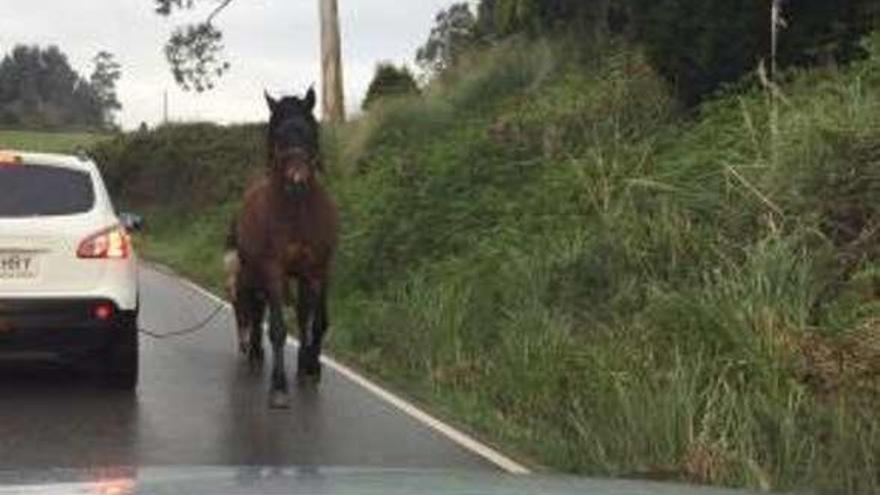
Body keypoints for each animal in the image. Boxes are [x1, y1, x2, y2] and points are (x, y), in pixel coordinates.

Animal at [225, 87, 338, 408]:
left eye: (310, 132)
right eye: (278, 134)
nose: (296, 181)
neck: (298, 211)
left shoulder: (315, 271)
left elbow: (314, 322)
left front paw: (310, 368)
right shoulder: (273, 270)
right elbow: (277, 328)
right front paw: (278, 386)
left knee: (300, 314)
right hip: (253, 273)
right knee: (255, 308)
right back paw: (254, 352)